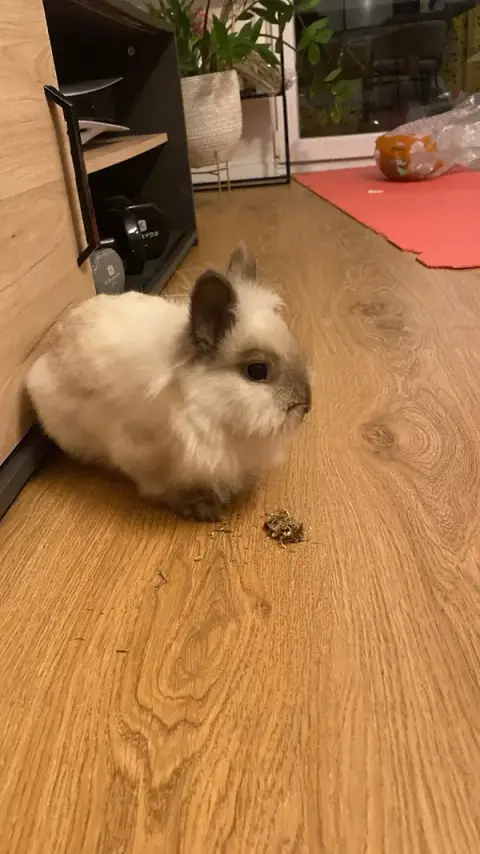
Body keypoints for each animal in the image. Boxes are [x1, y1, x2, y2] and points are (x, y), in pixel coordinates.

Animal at [26, 245, 311, 521]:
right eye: (257, 370)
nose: (305, 405)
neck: (204, 403)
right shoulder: (146, 456)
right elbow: (167, 489)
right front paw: (202, 508)